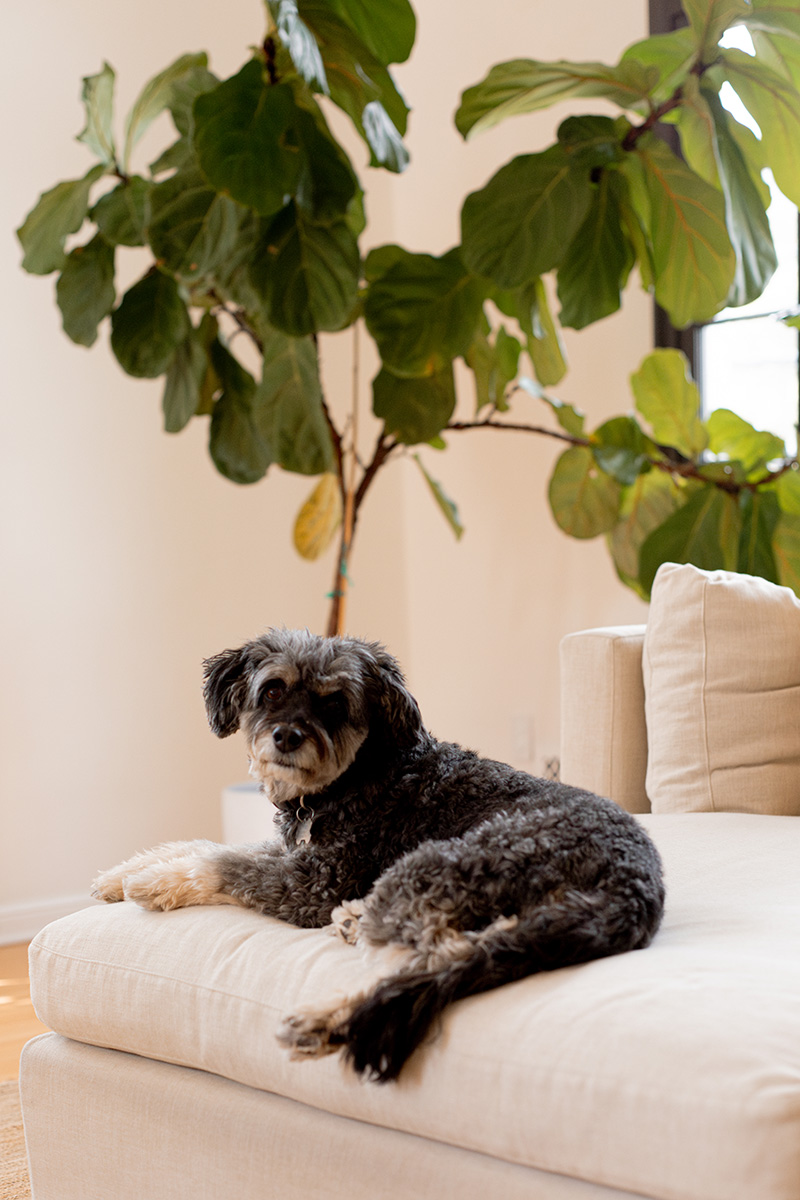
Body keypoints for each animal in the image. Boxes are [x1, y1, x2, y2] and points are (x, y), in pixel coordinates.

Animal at [90, 633, 666, 1084]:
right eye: (272, 690)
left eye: (333, 704)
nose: (287, 736)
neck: (358, 775)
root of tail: (636, 884)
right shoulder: (296, 852)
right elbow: (215, 845)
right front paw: (123, 873)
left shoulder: (316, 881)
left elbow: (227, 864)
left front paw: (153, 881)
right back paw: (353, 928)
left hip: (438, 864)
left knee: (435, 958)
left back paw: (329, 1020)